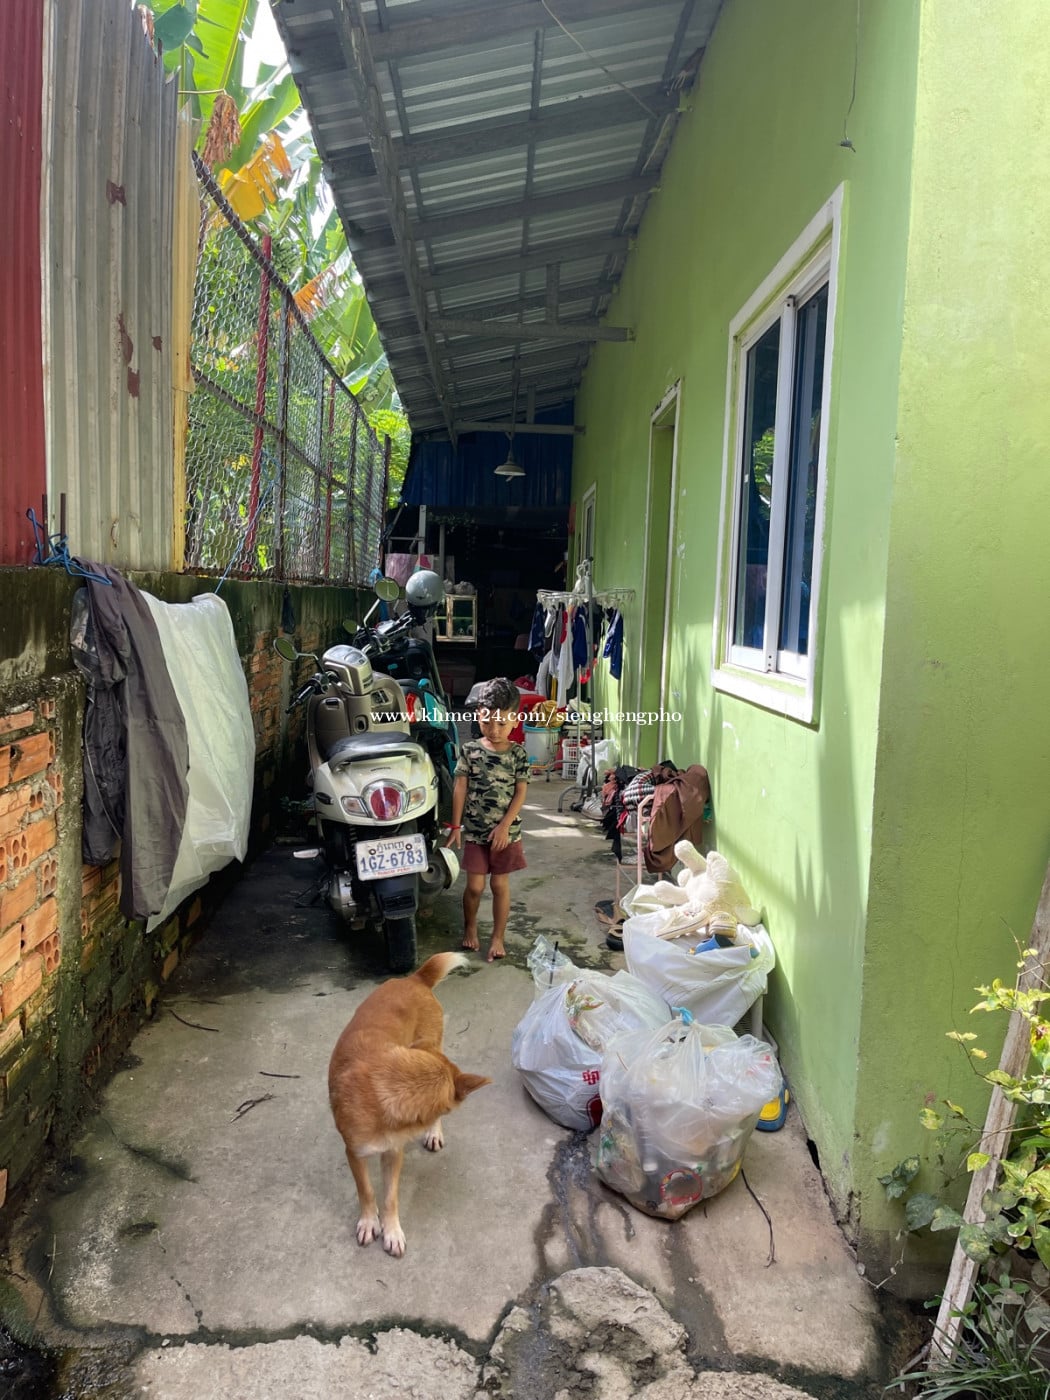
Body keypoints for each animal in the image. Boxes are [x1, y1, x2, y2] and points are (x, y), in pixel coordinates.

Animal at [328, 951, 490, 1258]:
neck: (387, 1090)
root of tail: (415, 979)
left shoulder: (394, 1153)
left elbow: (390, 1196)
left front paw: (391, 1230)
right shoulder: (354, 1152)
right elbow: (367, 1190)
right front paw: (369, 1221)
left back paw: (434, 1134)